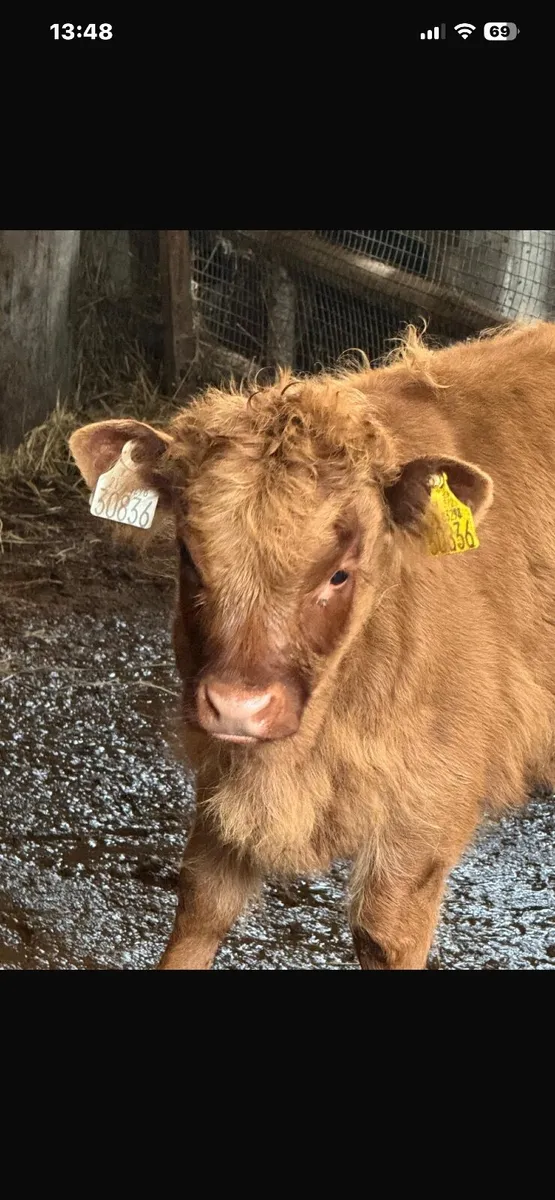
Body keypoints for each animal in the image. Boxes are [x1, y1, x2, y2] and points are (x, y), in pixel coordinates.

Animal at [69, 320, 555, 970]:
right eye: (189, 557)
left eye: (340, 574)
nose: (239, 706)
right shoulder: (222, 776)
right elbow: (199, 908)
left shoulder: (425, 818)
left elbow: (383, 936)